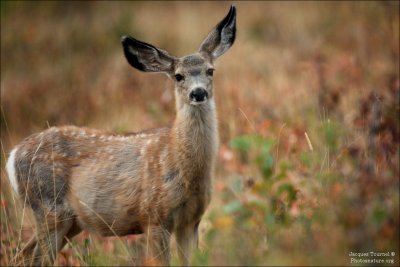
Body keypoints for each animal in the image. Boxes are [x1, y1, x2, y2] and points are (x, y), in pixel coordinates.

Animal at [6, 4, 236, 267]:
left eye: (210, 70)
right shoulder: (154, 216)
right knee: (35, 257)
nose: (198, 93)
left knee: (23, 253)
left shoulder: (191, 221)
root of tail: (13, 155)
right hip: (48, 207)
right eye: (178, 76)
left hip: (69, 222)